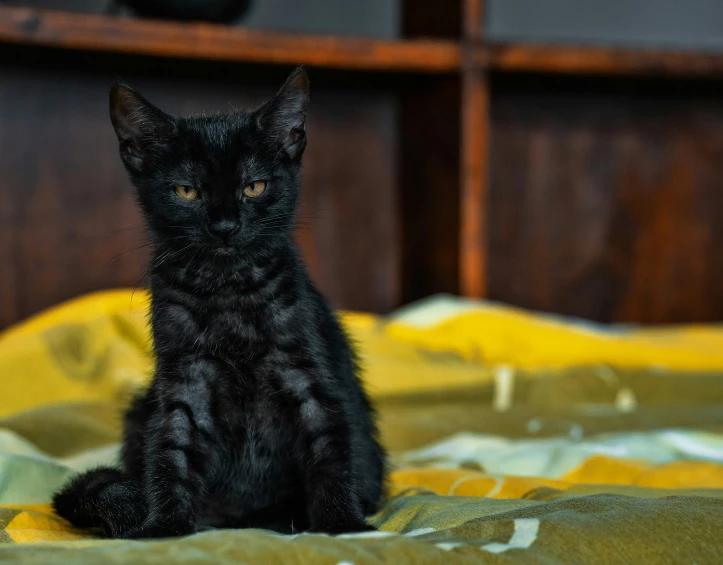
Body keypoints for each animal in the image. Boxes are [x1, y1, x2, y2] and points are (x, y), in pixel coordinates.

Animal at [51, 69, 388, 536]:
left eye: (254, 187)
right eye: (186, 191)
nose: (225, 225)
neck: (228, 291)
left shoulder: (306, 374)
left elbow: (329, 448)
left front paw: (342, 524)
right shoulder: (185, 379)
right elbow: (172, 449)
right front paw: (164, 526)